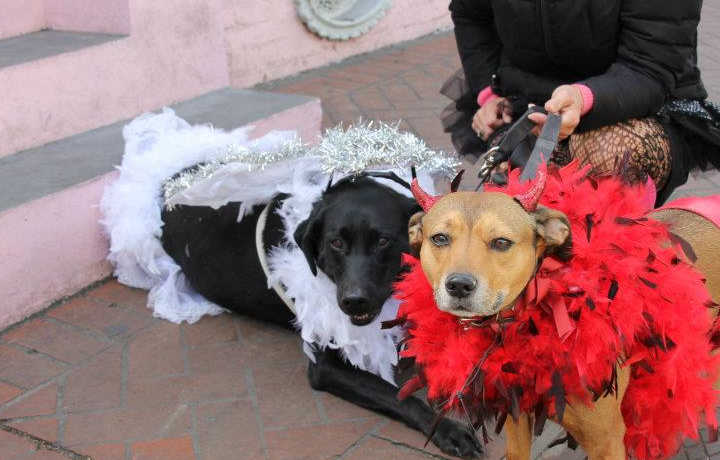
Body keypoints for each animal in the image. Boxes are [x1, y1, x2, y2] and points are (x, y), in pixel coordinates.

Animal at [160, 175, 480, 456]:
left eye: (383, 241)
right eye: (335, 243)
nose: (354, 301)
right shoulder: (325, 365)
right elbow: (397, 396)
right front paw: (446, 430)